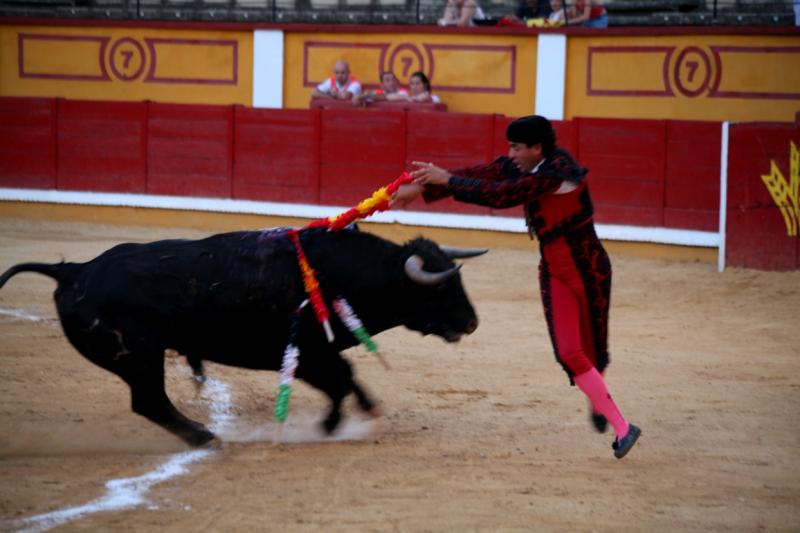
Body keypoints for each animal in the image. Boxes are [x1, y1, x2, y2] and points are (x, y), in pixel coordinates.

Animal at [0, 228, 482, 444]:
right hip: (139, 356)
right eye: (440, 288)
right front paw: (330, 425)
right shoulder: (304, 354)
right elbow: (340, 381)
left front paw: (366, 408)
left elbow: (348, 376)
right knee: (149, 401)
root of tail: (72, 271)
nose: (472, 322)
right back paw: (203, 437)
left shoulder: (318, 353)